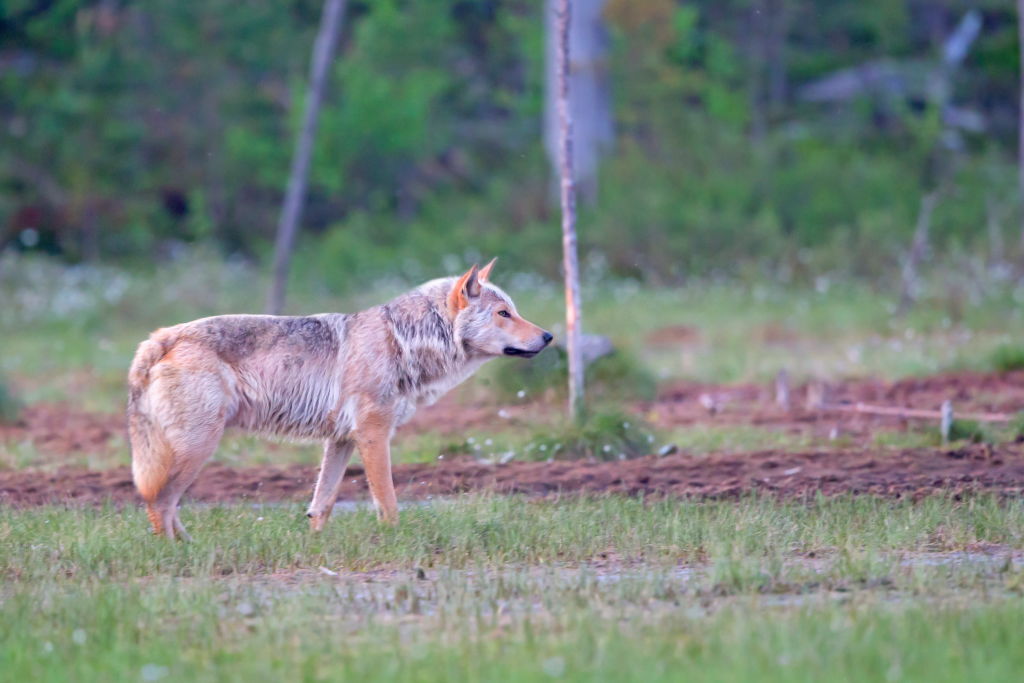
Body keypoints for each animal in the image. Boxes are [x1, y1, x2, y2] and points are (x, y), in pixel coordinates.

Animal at [127, 260, 552, 539]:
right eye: (503, 313)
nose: (549, 336)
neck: (403, 340)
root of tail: (158, 338)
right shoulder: (373, 435)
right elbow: (388, 501)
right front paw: (395, 542)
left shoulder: (342, 439)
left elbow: (323, 503)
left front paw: (315, 546)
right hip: (197, 446)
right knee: (159, 501)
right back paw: (176, 553)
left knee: (166, 504)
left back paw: (190, 546)